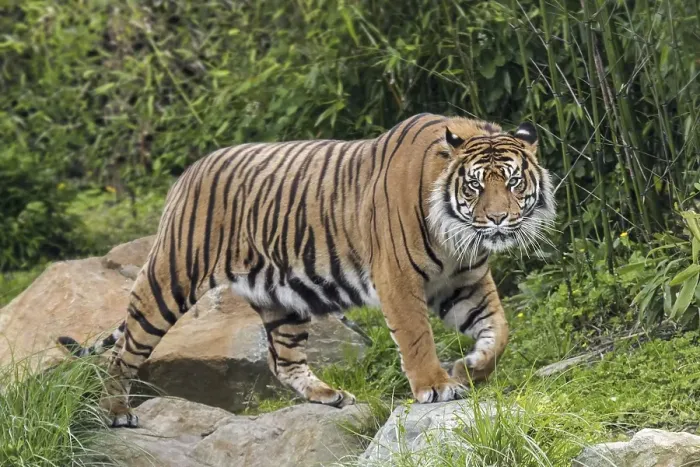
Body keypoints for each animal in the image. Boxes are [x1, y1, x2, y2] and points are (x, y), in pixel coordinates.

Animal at [58, 113, 555, 428]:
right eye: (475, 186)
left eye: (514, 182)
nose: (498, 220)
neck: (457, 237)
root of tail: (188, 172)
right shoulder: (398, 278)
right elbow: (416, 337)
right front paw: (435, 386)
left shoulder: (465, 280)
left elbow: (499, 330)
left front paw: (470, 368)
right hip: (170, 278)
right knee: (123, 352)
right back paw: (115, 413)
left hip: (283, 298)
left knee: (283, 362)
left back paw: (329, 396)